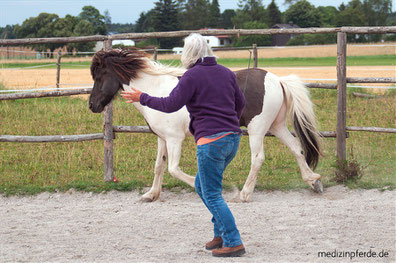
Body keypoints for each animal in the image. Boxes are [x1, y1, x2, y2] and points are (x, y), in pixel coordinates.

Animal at [88, 49, 324, 202]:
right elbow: (159, 166)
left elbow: (173, 169)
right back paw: (313, 181)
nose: (92, 105)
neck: (158, 91)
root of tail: (278, 80)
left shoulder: (174, 139)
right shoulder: (162, 138)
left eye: (99, 76)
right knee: (296, 148)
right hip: (276, 126)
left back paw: (244, 194)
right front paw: (151, 194)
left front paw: (208, 186)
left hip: (257, 129)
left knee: (258, 158)